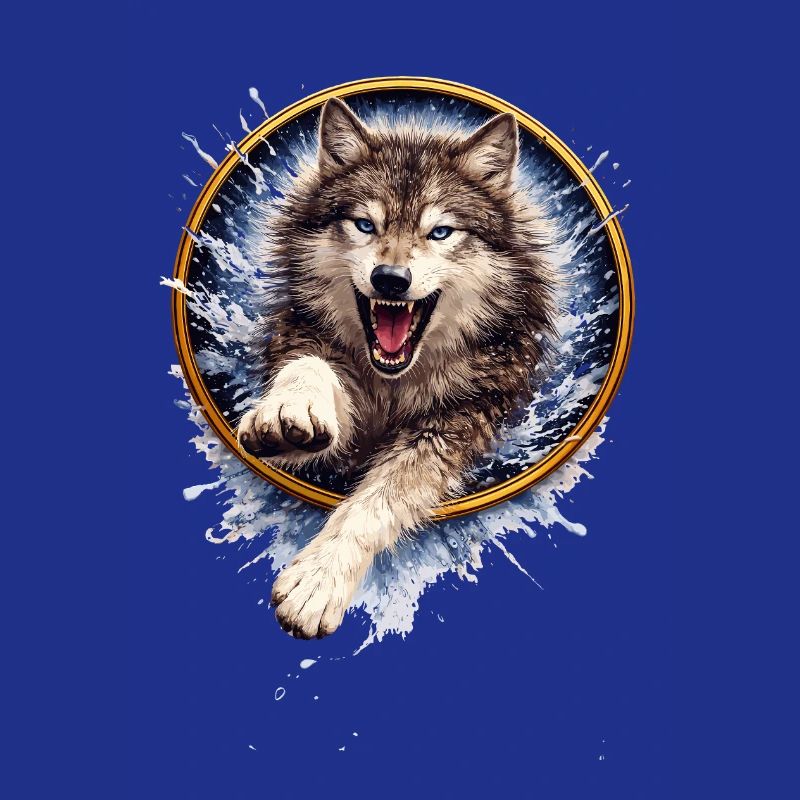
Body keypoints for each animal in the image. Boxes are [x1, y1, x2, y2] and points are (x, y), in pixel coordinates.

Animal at [237, 98, 557, 638]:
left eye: (440, 231)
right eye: (365, 225)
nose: (390, 279)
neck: (395, 385)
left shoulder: (452, 426)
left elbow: (375, 502)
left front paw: (318, 581)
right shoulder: (316, 357)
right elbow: (309, 366)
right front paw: (288, 411)